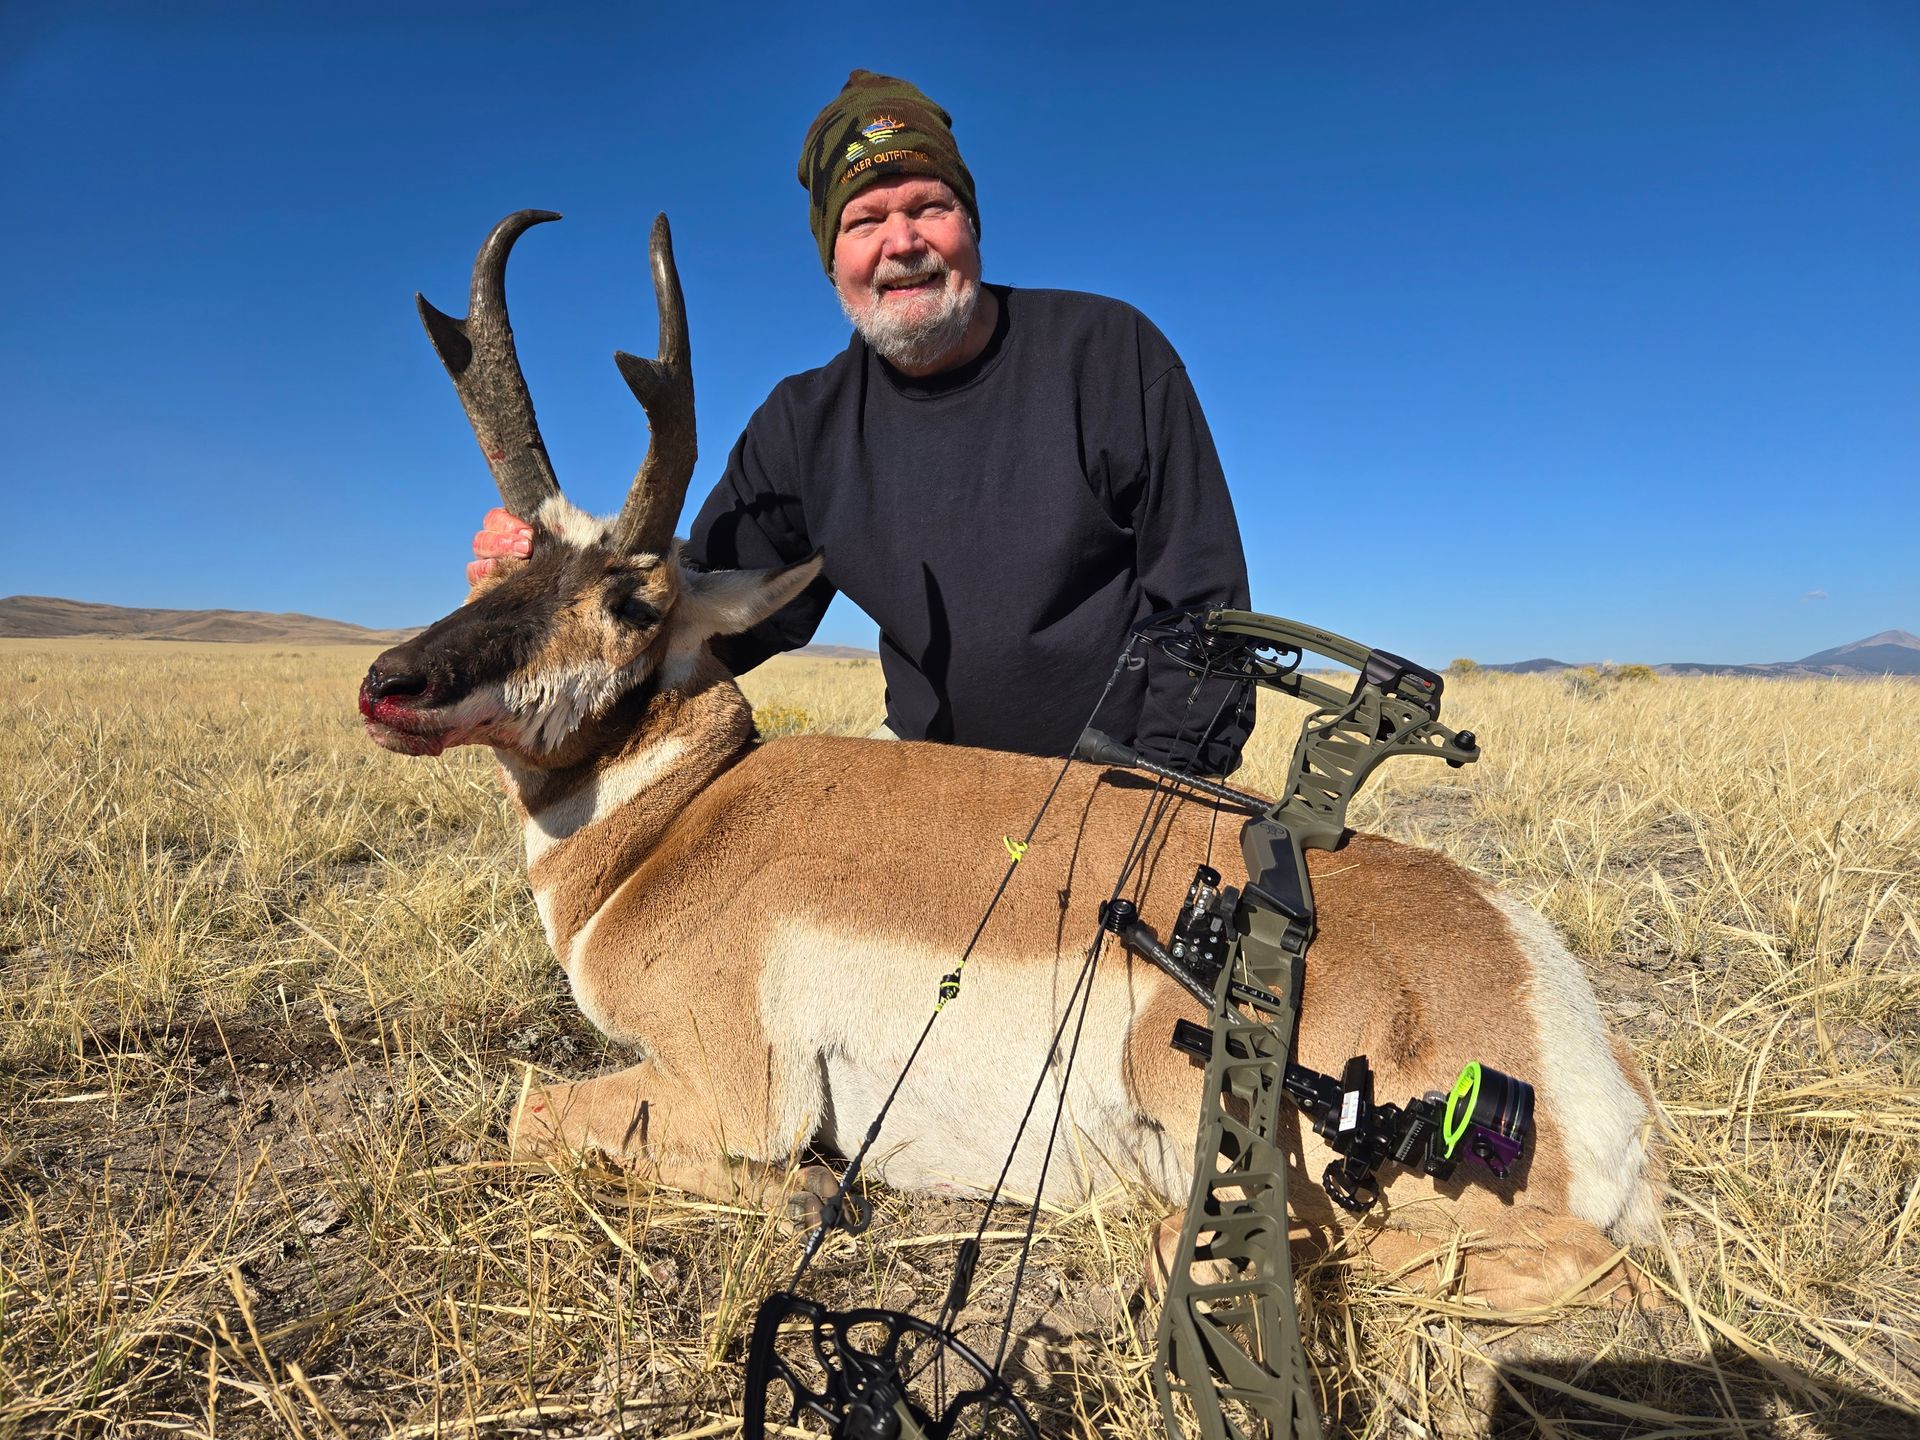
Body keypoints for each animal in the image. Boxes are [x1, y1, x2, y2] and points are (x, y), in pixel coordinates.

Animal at [361, 210, 1660, 1309]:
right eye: (507, 568)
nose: (388, 686)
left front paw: (806, 1196)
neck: (689, 817)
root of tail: (1540, 991)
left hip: (1194, 1068)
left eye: (633, 602)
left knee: (1560, 1261)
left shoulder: (734, 1087)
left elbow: (533, 1111)